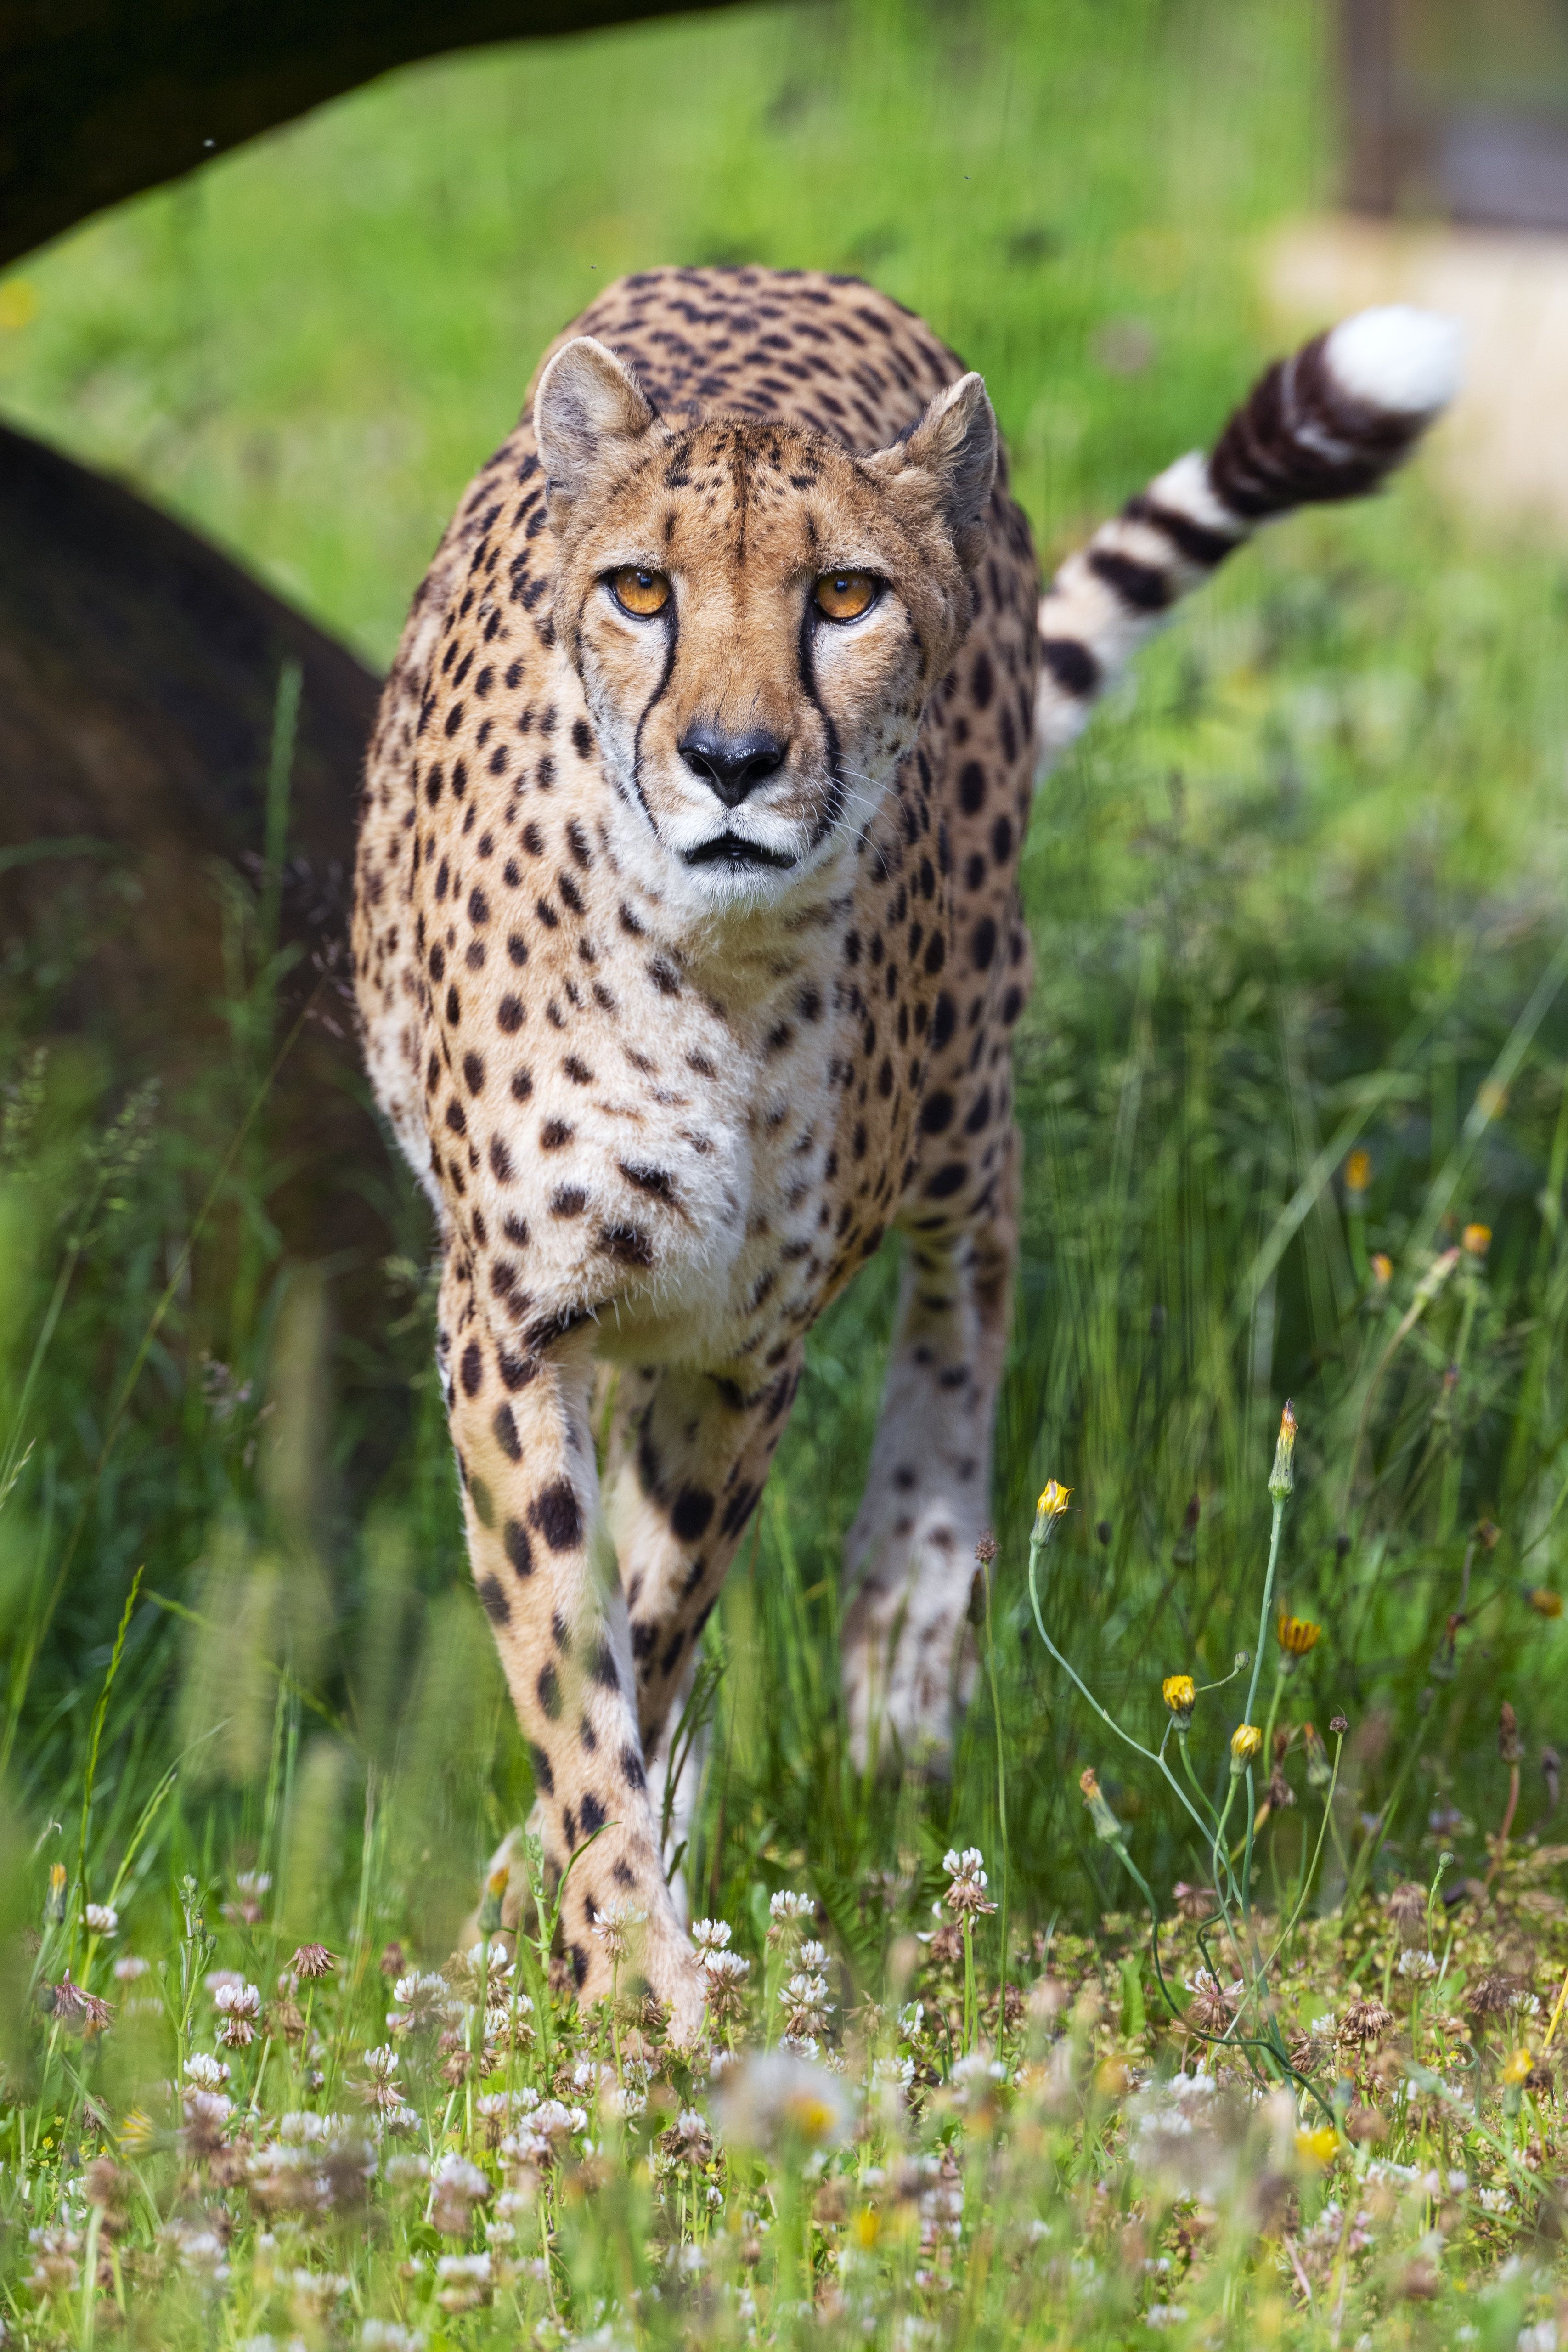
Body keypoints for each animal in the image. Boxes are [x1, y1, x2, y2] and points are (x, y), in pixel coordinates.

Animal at [352, 265, 1457, 2035]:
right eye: (643, 590)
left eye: (845, 596)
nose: (732, 762)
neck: (714, 966)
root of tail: (785, 272)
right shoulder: (520, 1327)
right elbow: (574, 1658)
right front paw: (619, 1957)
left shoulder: (746, 1347)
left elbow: (647, 1626)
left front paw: (590, 1939)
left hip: (963, 1057)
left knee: (979, 1256)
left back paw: (909, 1628)